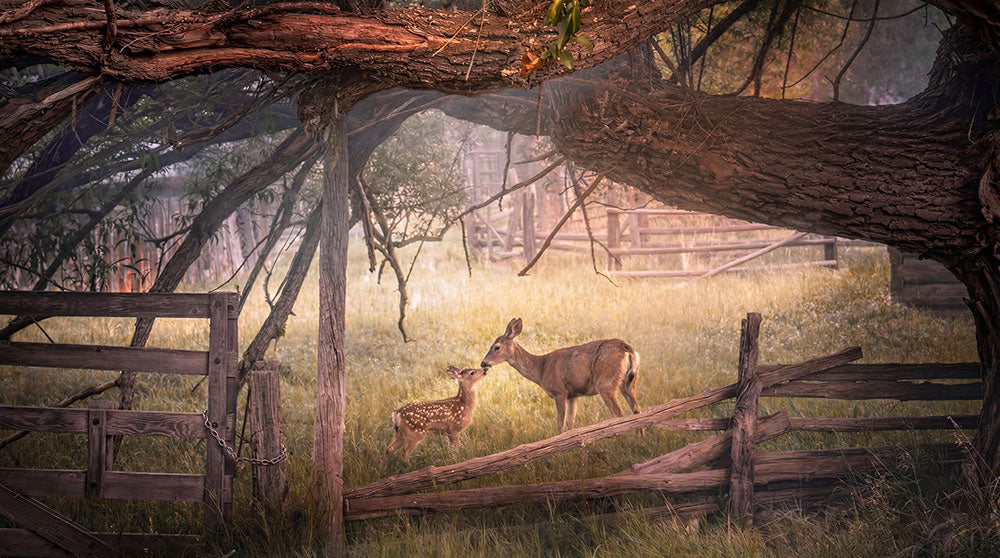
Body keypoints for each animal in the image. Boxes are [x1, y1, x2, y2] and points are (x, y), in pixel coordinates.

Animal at [480, 318, 640, 432]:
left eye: (496, 347)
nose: (483, 363)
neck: (541, 369)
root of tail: (628, 349)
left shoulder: (560, 391)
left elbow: (560, 424)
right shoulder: (573, 395)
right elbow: (570, 424)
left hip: (605, 382)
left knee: (619, 414)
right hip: (628, 382)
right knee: (636, 410)